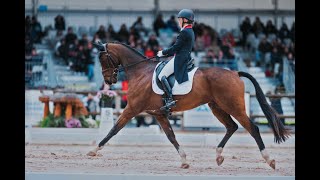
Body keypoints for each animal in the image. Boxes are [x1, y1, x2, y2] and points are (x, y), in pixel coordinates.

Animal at [87, 41, 290, 169]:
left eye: (103, 59)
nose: (109, 80)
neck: (140, 71)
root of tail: (235, 73)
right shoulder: (158, 114)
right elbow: (171, 136)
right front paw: (184, 160)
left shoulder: (132, 109)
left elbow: (113, 130)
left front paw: (93, 150)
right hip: (217, 107)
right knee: (231, 127)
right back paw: (218, 155)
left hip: (234, 107)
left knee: (252, 128)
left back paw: (269, 160)